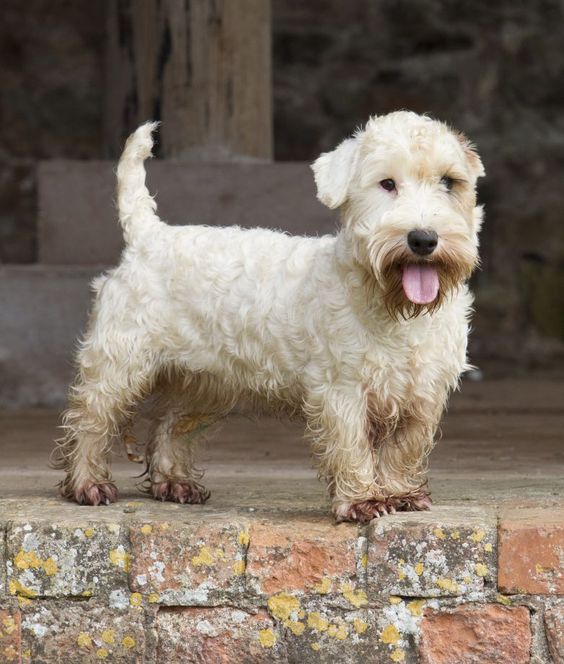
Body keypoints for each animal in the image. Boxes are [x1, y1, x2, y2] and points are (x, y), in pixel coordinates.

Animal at [54, 111, 484, 520]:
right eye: (387, 183)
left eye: (450, 182)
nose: (423, 239)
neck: (397, 309)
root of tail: (149, 234)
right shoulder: (342, 388)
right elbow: (352, 445)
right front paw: (363, 501)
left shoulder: (424, 393)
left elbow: (404, 448)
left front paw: (401, 494)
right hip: (118, 363)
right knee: (90, 420)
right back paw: (87, 484)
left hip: (204, 381)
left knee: (170, 424)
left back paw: (174, 482)